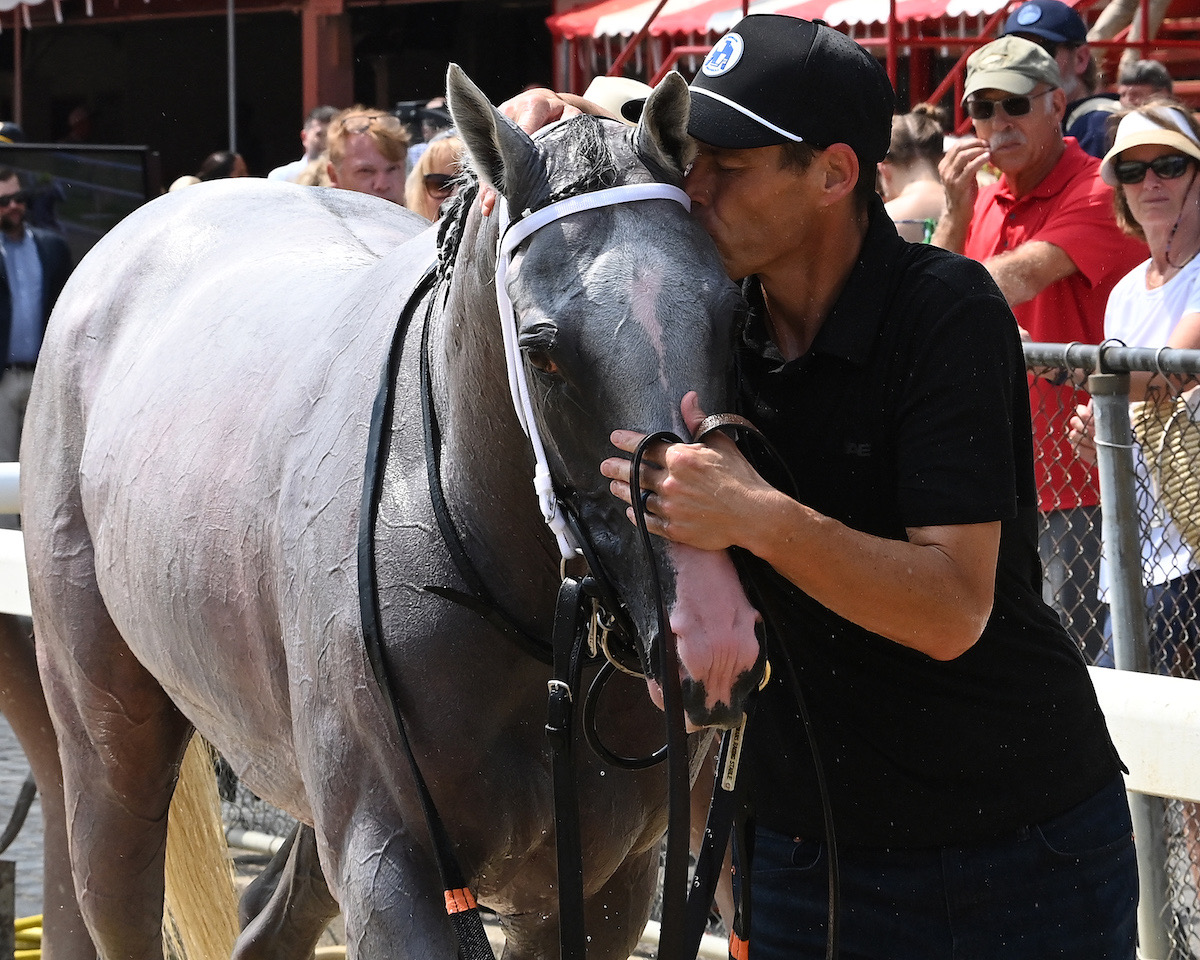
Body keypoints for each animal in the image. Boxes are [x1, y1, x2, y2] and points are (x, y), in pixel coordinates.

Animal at [23, 69, 763, 960]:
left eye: (734, 316)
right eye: (543, 351)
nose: (712, 642)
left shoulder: (606, 881)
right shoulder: (393, 865)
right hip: (107, 745)